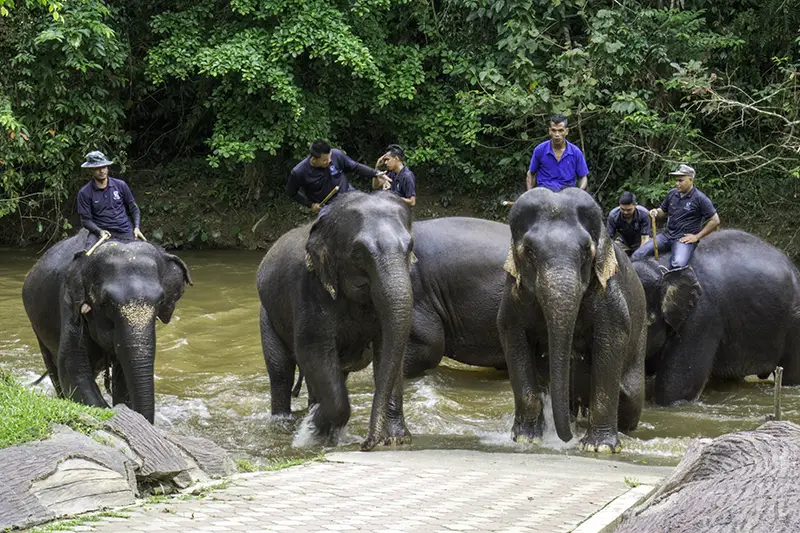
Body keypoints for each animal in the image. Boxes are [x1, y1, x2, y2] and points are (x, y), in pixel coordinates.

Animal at [22, 230, 192, 422]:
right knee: (54, 367)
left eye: (161, 301)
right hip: (37, 325)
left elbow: (123, 379)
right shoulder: (69, 304)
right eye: (105, 303)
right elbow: (72, 367)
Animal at [257, 191, 414, 451]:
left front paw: (397, 439)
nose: (366, 444)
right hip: (267, 314)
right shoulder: (309, 287)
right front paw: (311, 432)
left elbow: (389, 350)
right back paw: (285, 422)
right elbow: (314, 350)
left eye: (410, 247)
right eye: (358, 253)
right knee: (281, 371)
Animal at [497, 188, 647, 452]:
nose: (566, 438)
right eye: (529, 251)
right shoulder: (513, 292)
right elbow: (513, 336)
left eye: (587, 250)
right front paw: (527, 438)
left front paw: (599, 447)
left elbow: (610, 342)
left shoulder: (609, 294)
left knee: (630, 400)